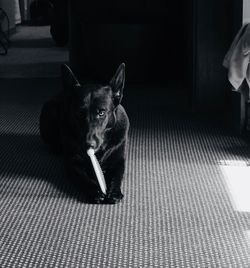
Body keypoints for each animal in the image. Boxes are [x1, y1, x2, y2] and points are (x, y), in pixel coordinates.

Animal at [39, 63, 129, 204]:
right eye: (79, 113)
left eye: (101, 112)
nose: (88, 144)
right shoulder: (73, 164)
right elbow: (83, 178)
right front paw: (95, 190)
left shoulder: (118, 161)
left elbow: (117, 176)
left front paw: (114, 191)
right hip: (50, 112)